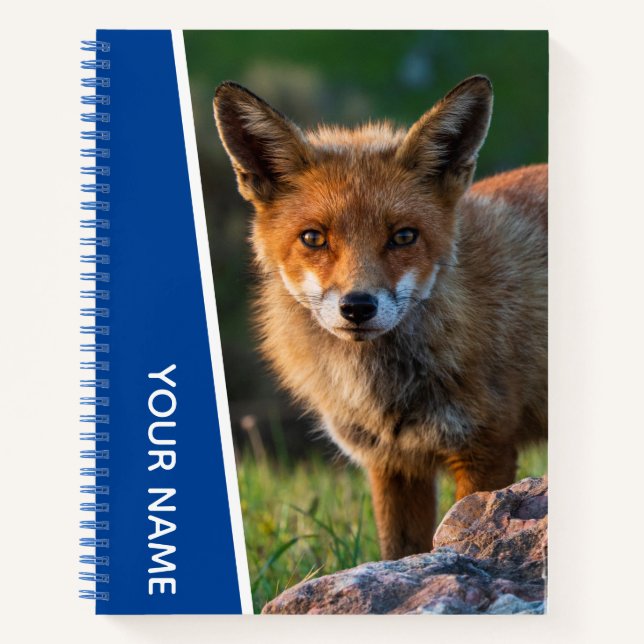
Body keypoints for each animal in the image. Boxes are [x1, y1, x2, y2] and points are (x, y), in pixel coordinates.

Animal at [213, 75, 547, 560]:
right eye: (313, 238)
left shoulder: (485, 448)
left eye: (403, 236)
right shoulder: (392, 462)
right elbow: (400, 552)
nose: (357, 306)